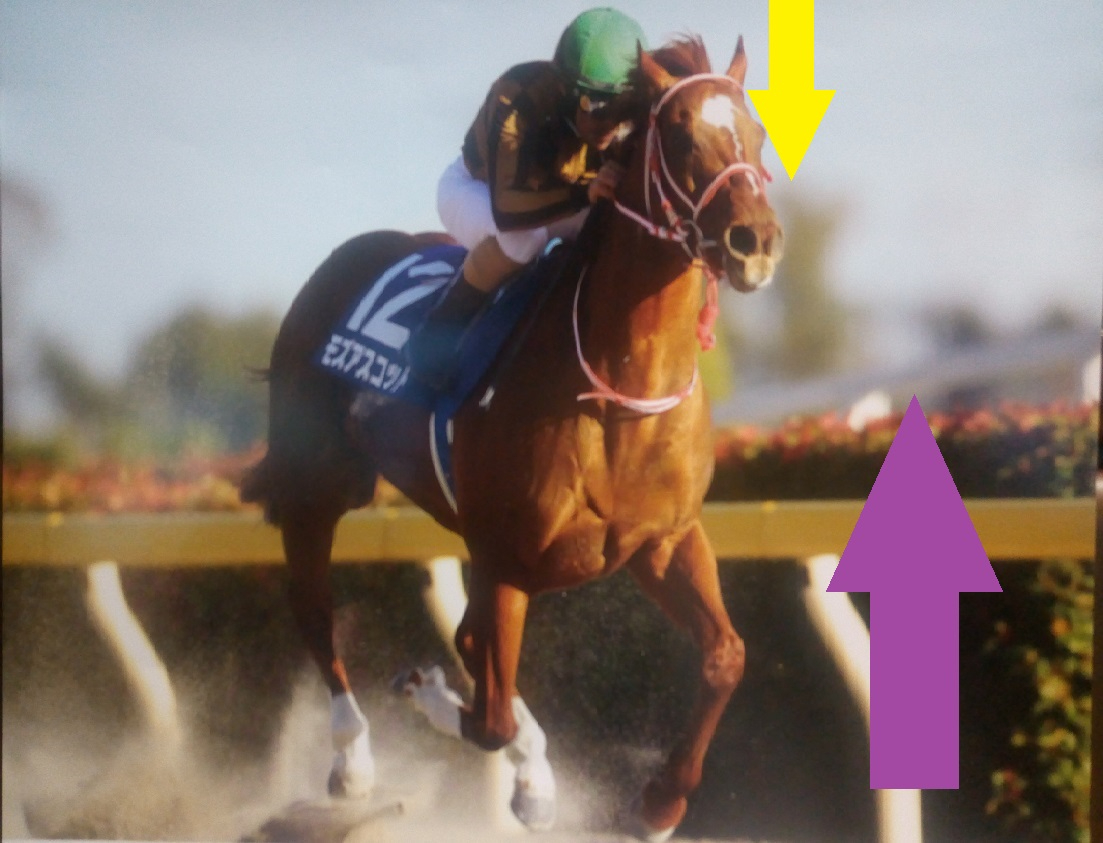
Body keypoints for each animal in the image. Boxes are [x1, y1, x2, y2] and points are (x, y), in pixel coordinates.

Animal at [241, 35, 782, 841]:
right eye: (682, 134)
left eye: (756, 132)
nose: (755, 241)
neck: (617, 393)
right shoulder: (506, 556)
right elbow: (488, 713)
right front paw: (432, 696)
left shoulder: (660, 541)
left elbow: (725, 656)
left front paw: (658, 803)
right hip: (317, 491)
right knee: (317, 612)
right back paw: (356, 758)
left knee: (468, 646)